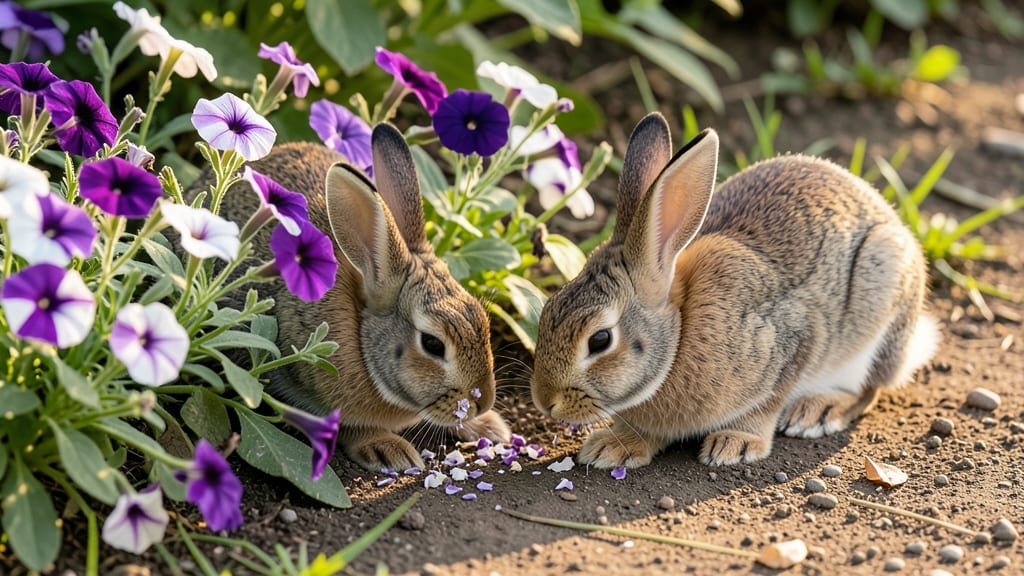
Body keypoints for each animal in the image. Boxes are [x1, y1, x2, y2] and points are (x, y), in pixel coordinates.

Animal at [199, 123, 510, 471]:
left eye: (482, 320)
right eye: (432, 344)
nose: (484, 401)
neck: (362, 337)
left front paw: (489, 428)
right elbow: (347, 426)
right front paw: (388, 449)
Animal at [531, 112, 939, 468]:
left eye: (600, 340)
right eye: (548, 310)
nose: (544, 401)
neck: (680, 332)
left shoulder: (794, 339)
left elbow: (767, 404)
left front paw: (737, 443)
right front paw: (615, 447)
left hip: (881, 301)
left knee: (869, 389)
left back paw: (817, 411)